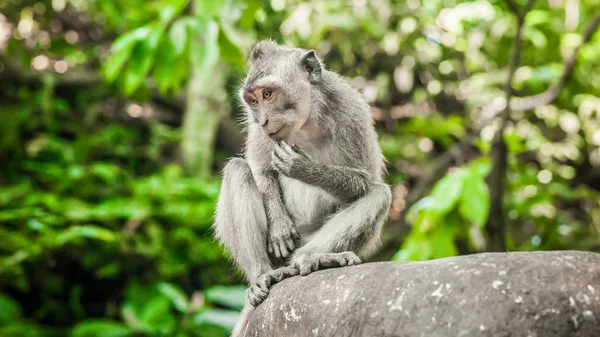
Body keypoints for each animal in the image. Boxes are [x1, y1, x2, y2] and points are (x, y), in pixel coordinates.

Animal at [213, 39, 392, 334]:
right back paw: (262, 275)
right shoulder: (259, 131)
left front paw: (302, 168)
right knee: (237, 170)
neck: (306, 123)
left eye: (268, 94)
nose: (263, 120)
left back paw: (312, 259)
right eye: (253, 101)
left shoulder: (352, 111)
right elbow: (261, 171)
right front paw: (279, 228)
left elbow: (365, 180)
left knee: (378, 194)